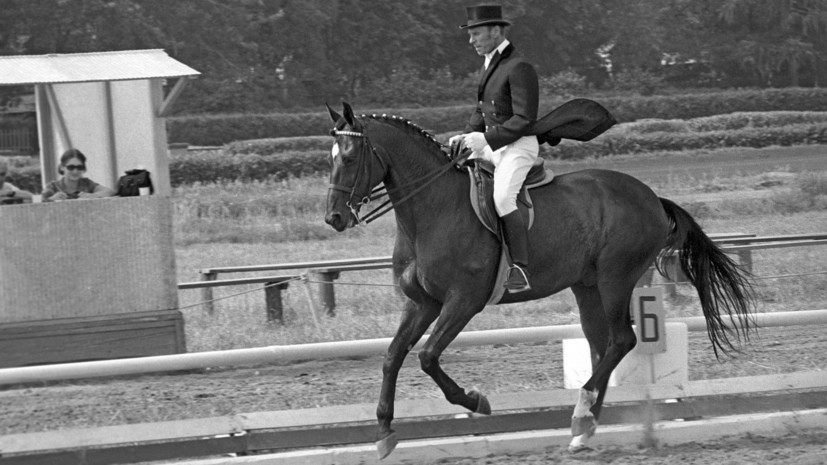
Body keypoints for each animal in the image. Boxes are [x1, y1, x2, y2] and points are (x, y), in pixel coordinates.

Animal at [324, 100, 756, 456]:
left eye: (350, 156)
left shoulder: (463, 300)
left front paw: (475, 400)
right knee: (602, 344)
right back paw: (584, 428)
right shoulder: (422, 302)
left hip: (616, 278)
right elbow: (393, 356)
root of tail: (649, 195)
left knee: (622, 340)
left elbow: (428, 357)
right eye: (331, 158)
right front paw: (384, 432)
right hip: (587, 285)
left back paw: (582, 415)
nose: (334, 218)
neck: (431, 210)